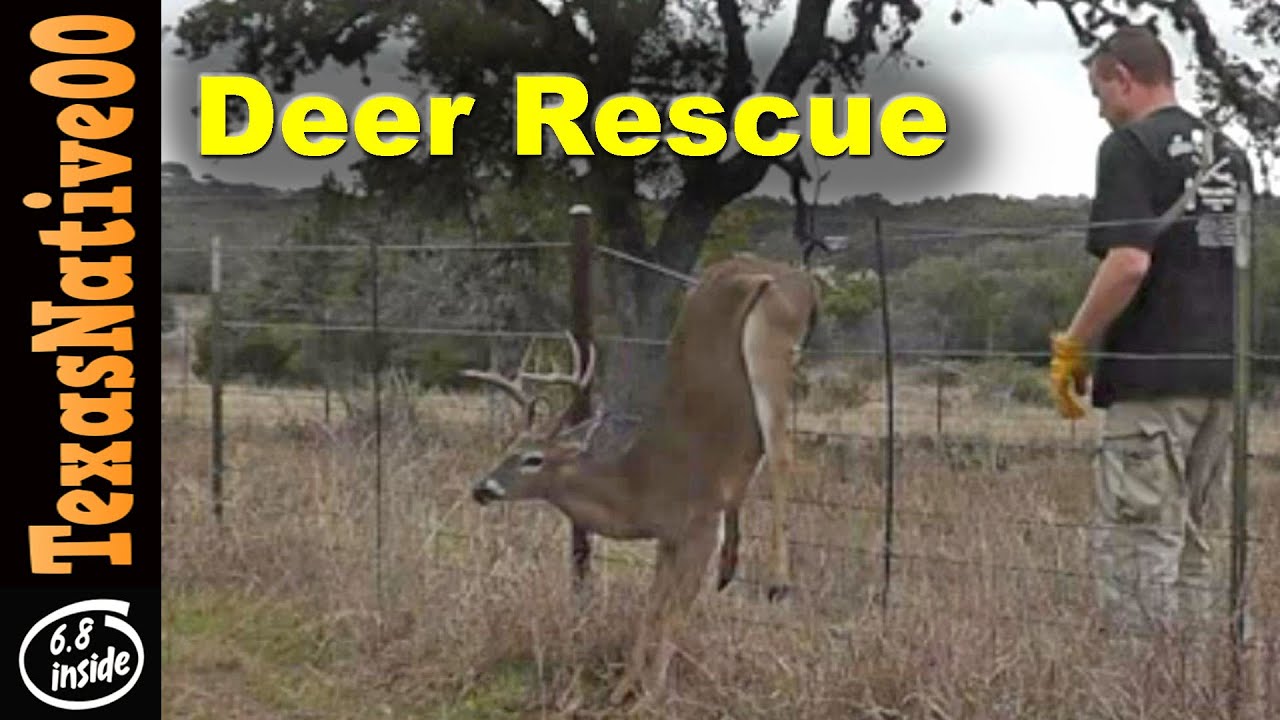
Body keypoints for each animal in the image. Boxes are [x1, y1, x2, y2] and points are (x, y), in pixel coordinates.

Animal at [459, 252, 821, 705]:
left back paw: (777, 580)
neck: (638, 489)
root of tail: (799, 275)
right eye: (506, 449)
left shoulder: (701, 523)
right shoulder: (668, 539)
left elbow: (675, 612)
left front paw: (651, 695)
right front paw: (624, 688)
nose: (481, 488)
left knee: (782, 455)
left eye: (532, 459)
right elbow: (652, 608)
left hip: (769, 333)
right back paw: (734, 568)